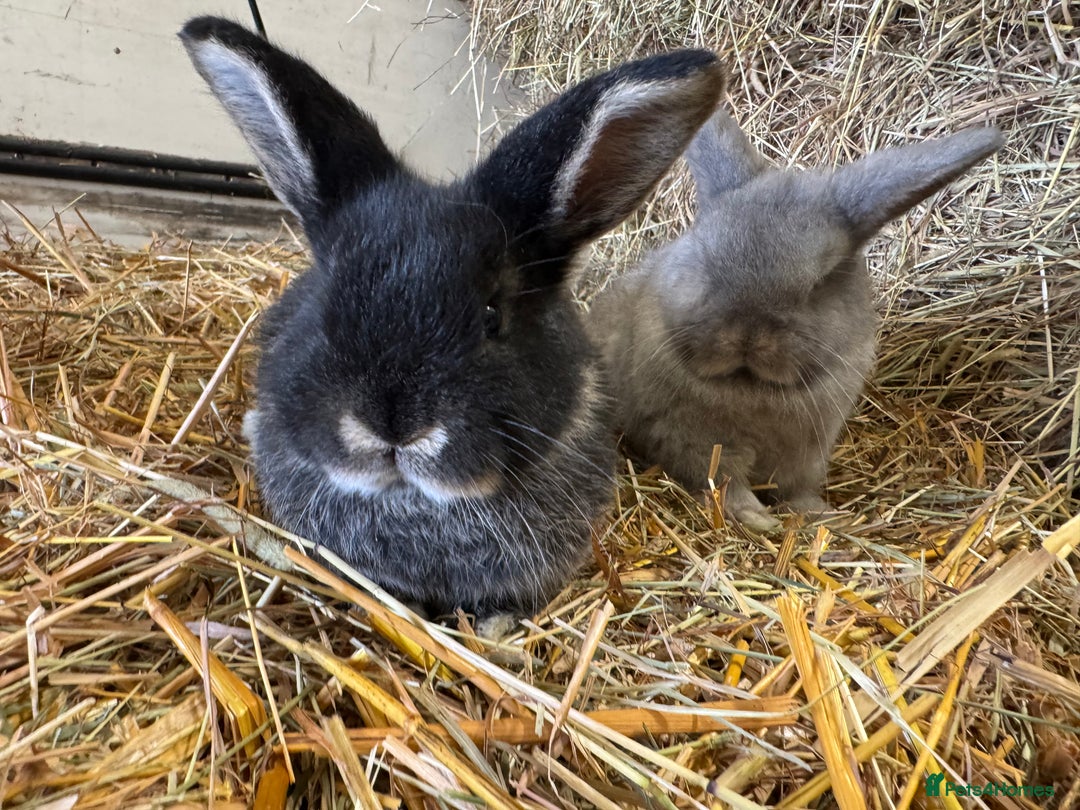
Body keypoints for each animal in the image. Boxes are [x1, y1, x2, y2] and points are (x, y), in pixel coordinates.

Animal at [590, 106, 1004, 531]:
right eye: (705, 255)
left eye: (822, 279)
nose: (746, 334)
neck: (751, 387)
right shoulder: (692, 440)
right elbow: (725, 483)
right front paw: (759, 520)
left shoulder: (805, 455)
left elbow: (796, 491)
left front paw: (826, 516)